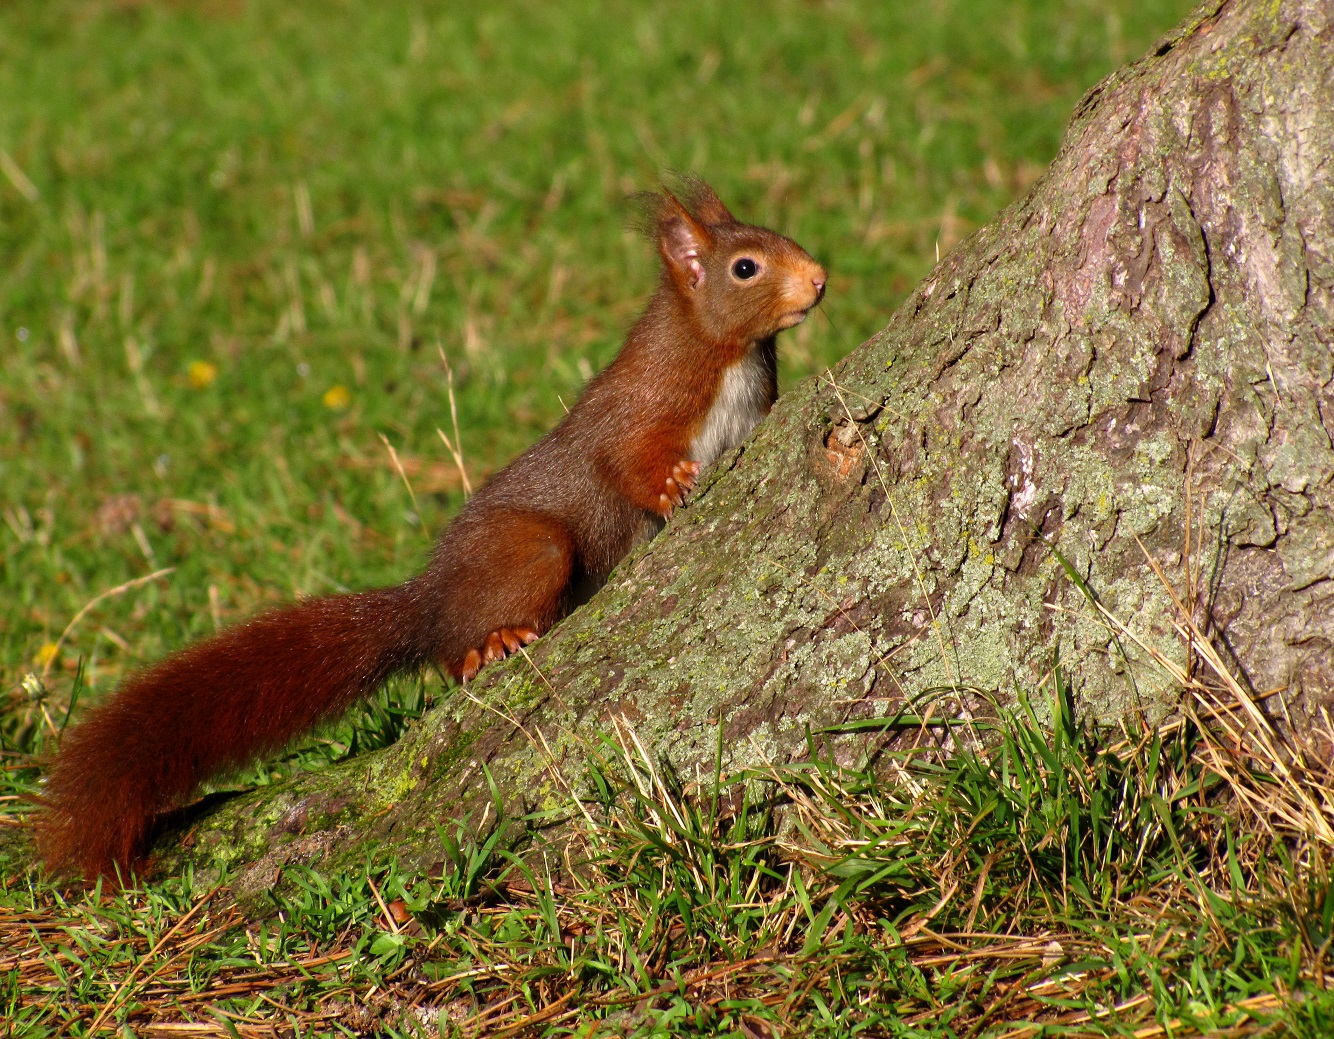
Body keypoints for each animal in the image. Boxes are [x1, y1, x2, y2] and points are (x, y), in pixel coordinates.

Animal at [33, 178, 821, 880]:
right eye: (744, 267)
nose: (818, 280)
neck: (725, 352)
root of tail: (431, 597)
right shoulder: (644, 402)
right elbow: (627, 461)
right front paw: (672, 486)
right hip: (532, 552)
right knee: (452, 648)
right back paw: (490, 643)